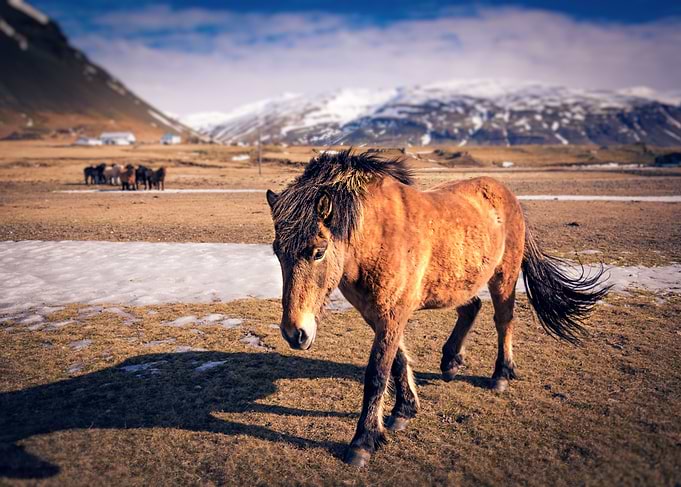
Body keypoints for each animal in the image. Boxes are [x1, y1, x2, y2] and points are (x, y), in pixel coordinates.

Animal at [266, 150, 609, 467]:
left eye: (318, 251)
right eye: (277, 252)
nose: (295, 333)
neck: (376, 236)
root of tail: (507, 195)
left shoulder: (391, 314)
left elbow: (378, 372)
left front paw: (363, 442)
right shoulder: (379, 314)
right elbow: (398, 360)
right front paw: (404, 411)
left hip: (504, 276)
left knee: (504, 320)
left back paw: (501, 374)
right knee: (471, 307)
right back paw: (451, 361)